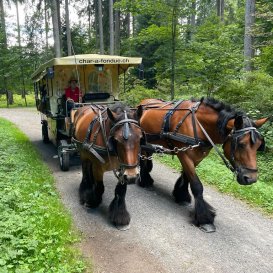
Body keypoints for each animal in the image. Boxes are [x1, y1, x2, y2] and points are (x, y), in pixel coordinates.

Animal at [137, 96, 266, 231]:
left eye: (259, 146)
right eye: (241, 144)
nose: (251, 178)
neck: (199, 125)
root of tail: (144, 101)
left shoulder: (198, 157)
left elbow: (186, 177)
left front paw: (181, 196)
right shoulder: (184, 154)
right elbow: (197, 185)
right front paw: (205, 219)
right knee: (143, 159)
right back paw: (144, 180)